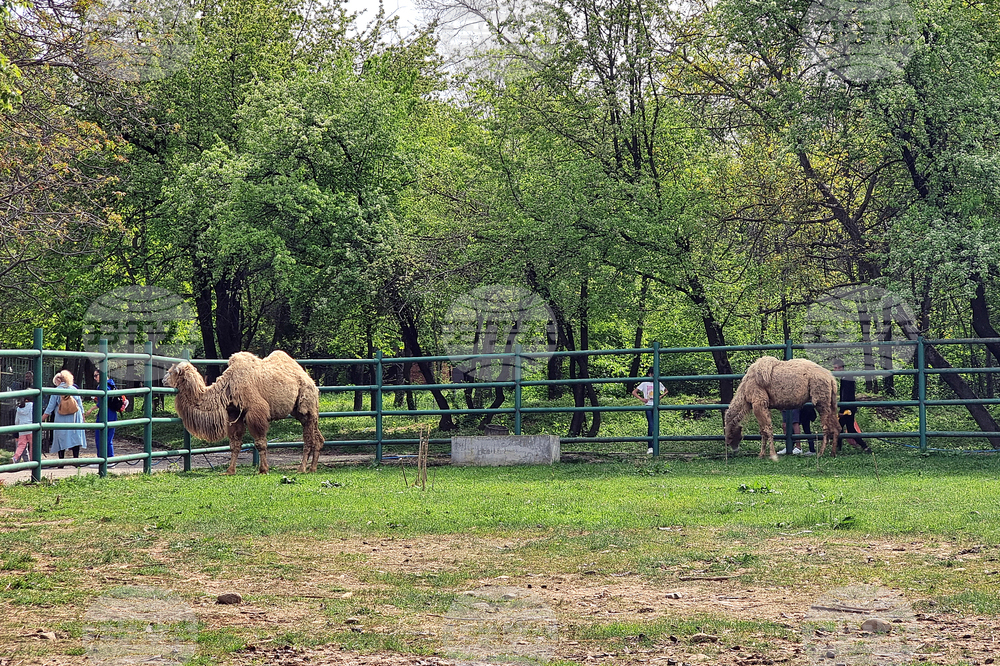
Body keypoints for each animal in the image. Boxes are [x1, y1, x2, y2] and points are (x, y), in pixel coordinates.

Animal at [165, 350, 324, 474]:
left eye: (172, 371)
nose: (163, 379)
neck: (227, 387)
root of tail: (311, 381)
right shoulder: (234, 414)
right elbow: (235, 444)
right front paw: (230, 470)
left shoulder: (256, 410)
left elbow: (260, 442)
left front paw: (263, 469)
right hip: (299, 411)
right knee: (317, 437)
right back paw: (313, 468)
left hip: (307, 403)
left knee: (309, 438)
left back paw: (302, 469)